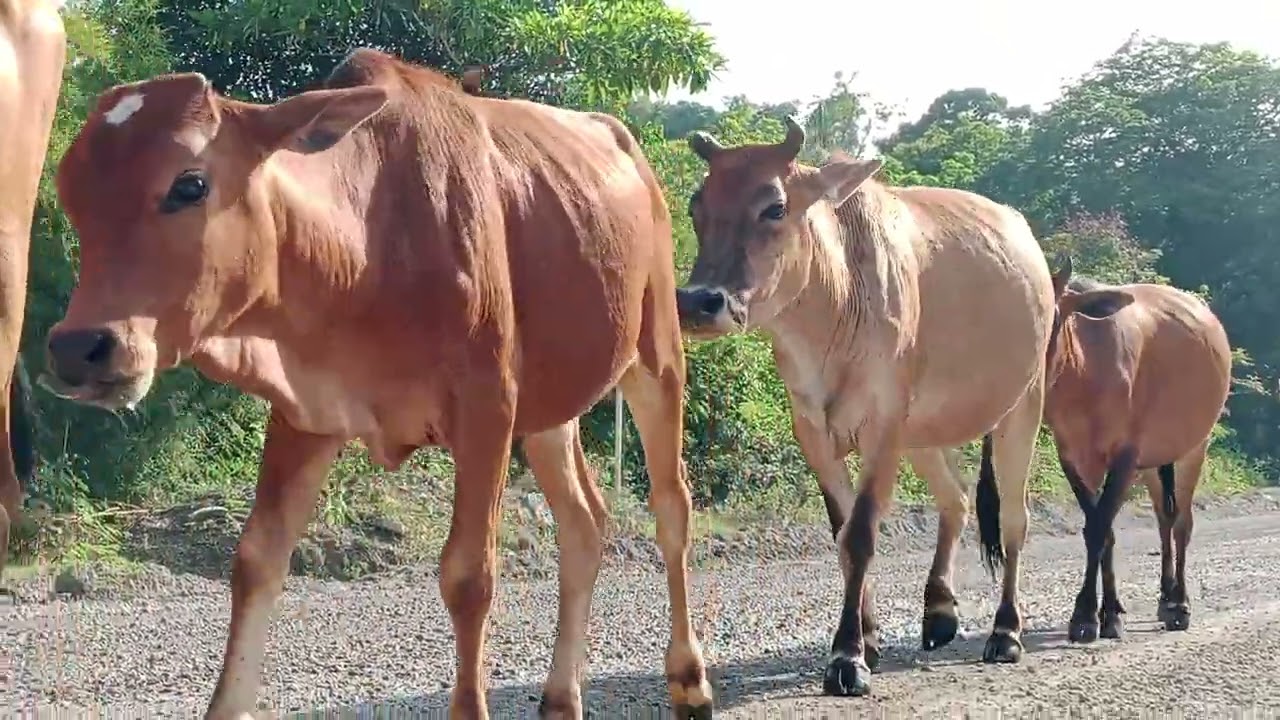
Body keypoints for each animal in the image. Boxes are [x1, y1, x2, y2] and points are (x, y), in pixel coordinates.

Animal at [41, 48, 712, 720]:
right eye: (70, 192)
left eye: (190, 183)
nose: (77, 348)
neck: (371, 241)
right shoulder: (304, 413)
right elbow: (256, 561)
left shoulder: (487, 407)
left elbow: (469, 576)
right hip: (552, 408)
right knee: (584, 524)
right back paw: (561, 696)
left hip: (657, 354)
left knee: (671, 507)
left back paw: (690, 679)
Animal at [675, 120, 1056, 697]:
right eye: (697, 205)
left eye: (774, 207)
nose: (697, 301)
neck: (833, 308)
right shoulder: (814, 431)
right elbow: (841, 534)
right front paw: (869, 639)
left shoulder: (881, 427)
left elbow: (860, 534)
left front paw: (847, 657)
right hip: (923, 434)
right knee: (956, 498)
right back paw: (939, 612)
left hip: (1022, 408)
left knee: (1014, 519)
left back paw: (1006, 631)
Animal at [1042, 258, 1231, 643]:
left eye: (1050, 316)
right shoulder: (1073, 457)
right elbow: (1101, 529)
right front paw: (1107, 611)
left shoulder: (1125, 456)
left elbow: (1099, 528)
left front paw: (1089, 616)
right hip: (1154, 461)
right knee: (1163, 517)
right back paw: (1165, 597)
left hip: (1194, 447)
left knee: (1182, 521)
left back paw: (1179, 604)